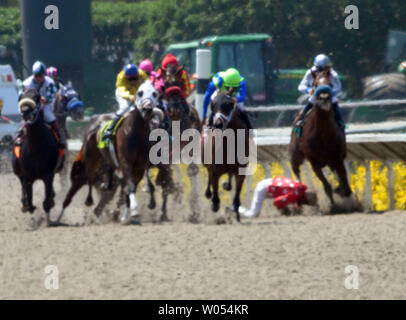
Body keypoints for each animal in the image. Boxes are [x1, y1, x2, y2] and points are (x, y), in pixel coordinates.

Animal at [201, 90, 249, 221]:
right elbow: (215, 187)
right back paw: (209, 193)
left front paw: (236, 212)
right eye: (213, 104)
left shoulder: (241, 169)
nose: (218, 124)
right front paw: (215, 204)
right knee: (210, 177)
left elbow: (237, 193)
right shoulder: (215, 169)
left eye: (229, 104)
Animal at [288, 69, 352, 211]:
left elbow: (344, 183)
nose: (324, 97)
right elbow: (327, 187)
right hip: (296, 154)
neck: (322, 134)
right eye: (315, 84)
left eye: (330, 84)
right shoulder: (314, 162)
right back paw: (299, 199)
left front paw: (342, 192)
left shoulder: (337, 158)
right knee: (296, 169)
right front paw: (333, 206)